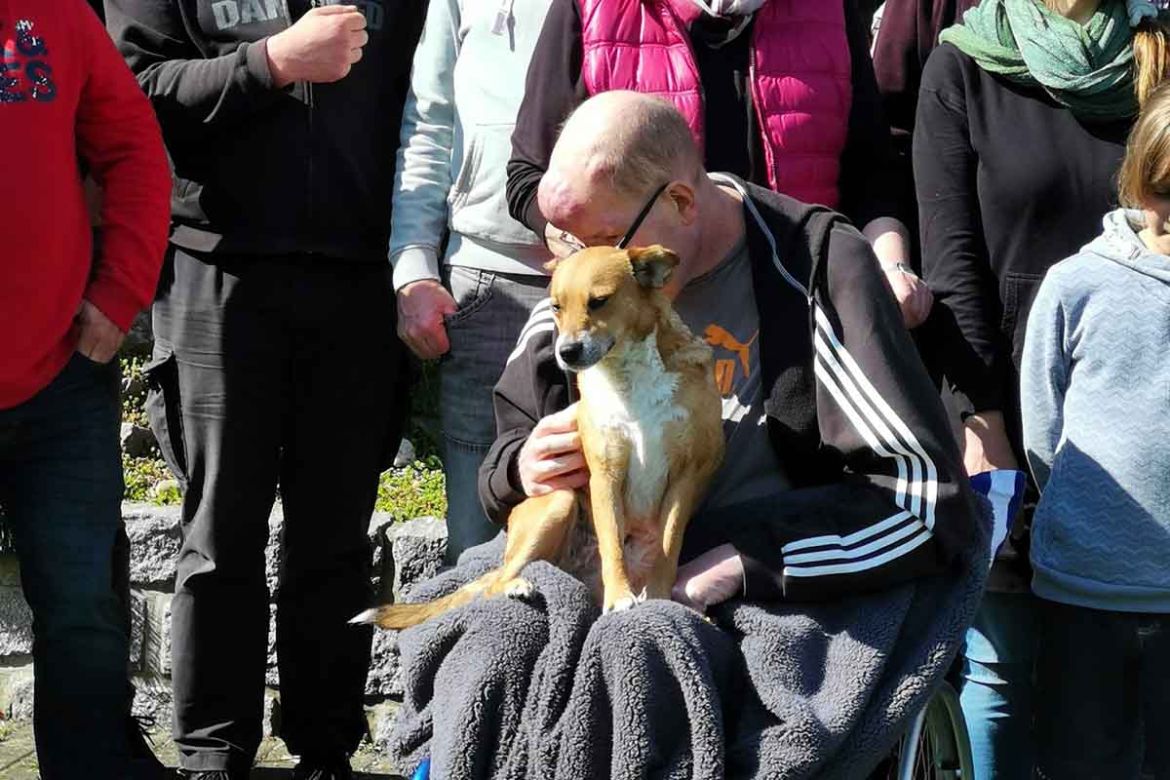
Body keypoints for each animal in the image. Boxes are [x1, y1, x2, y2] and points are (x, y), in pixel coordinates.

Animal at [351, 244, 725, 626]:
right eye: (556, 306)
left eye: (599, 301)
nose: (566, 352)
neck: (628, 376)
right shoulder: (606, 474)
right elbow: (612, 543)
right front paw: (620, 597)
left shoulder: (684, 477)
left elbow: (668, 546)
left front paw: (663, 601)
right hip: (557, 502)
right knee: (495, 582)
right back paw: (519, 586)